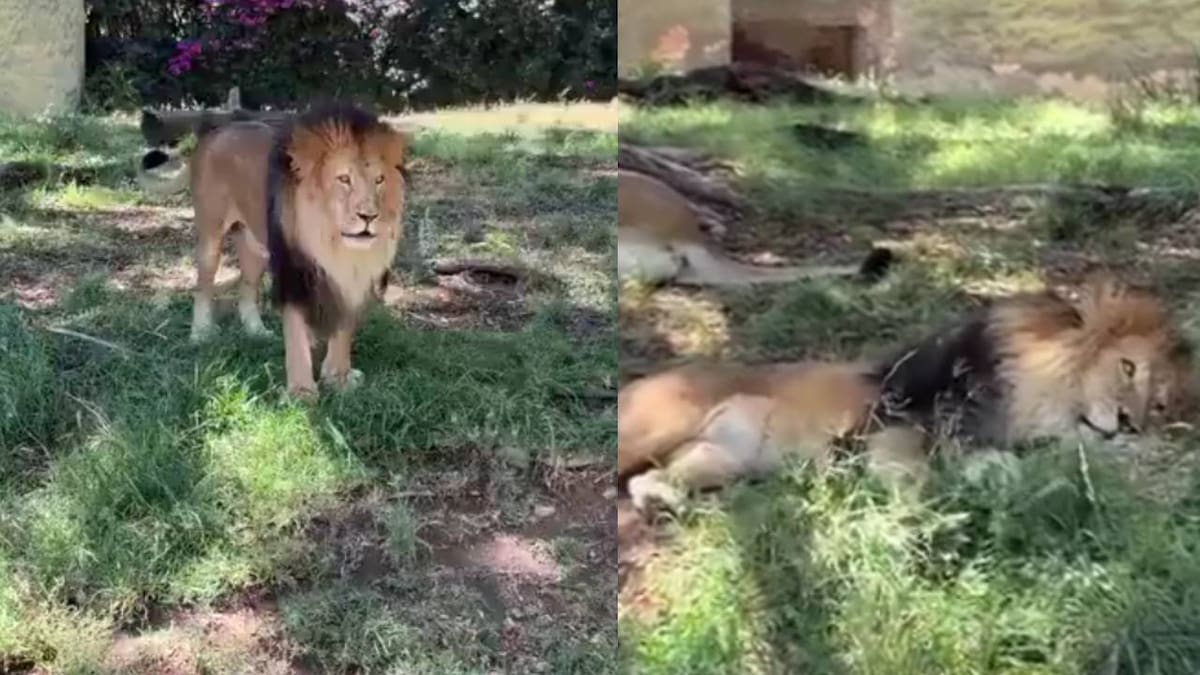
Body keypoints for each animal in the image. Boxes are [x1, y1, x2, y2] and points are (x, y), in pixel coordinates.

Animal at [187, 102, 408, 398]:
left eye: (380, 180)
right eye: (344, 179)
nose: (369, 216)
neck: (335, 246)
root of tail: (219, 128)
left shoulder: (353, 279)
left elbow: (343, 329)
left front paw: (338, 377)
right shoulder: (293, 273)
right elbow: (295, 335)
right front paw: (301, 393)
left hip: (255, 247)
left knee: (247, 290)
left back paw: (257, 332)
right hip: (211, 236)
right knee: (203, 286)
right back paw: (200, 334)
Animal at [618, 276, 1196, 512]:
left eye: (1159, 403)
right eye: (1126, 367)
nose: (1128, 423)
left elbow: (995, 468)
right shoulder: (891, 422)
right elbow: (913, 473)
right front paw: (920, 514)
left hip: (718, 459)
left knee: (648, 479)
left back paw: (660, 500)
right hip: (659, 425)